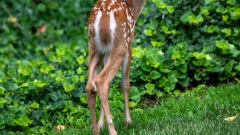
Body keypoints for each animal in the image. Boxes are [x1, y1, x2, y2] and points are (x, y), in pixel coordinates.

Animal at [86, 0, 146, 134]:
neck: (133, 8)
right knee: (101, 80)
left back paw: (95, 130)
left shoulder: (105, 51)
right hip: (120, 44)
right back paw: (113, 131)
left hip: (94, 48)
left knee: (90, 86)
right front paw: (128, 122)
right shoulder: (129, 44)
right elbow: (125, 83)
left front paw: (100, 125)